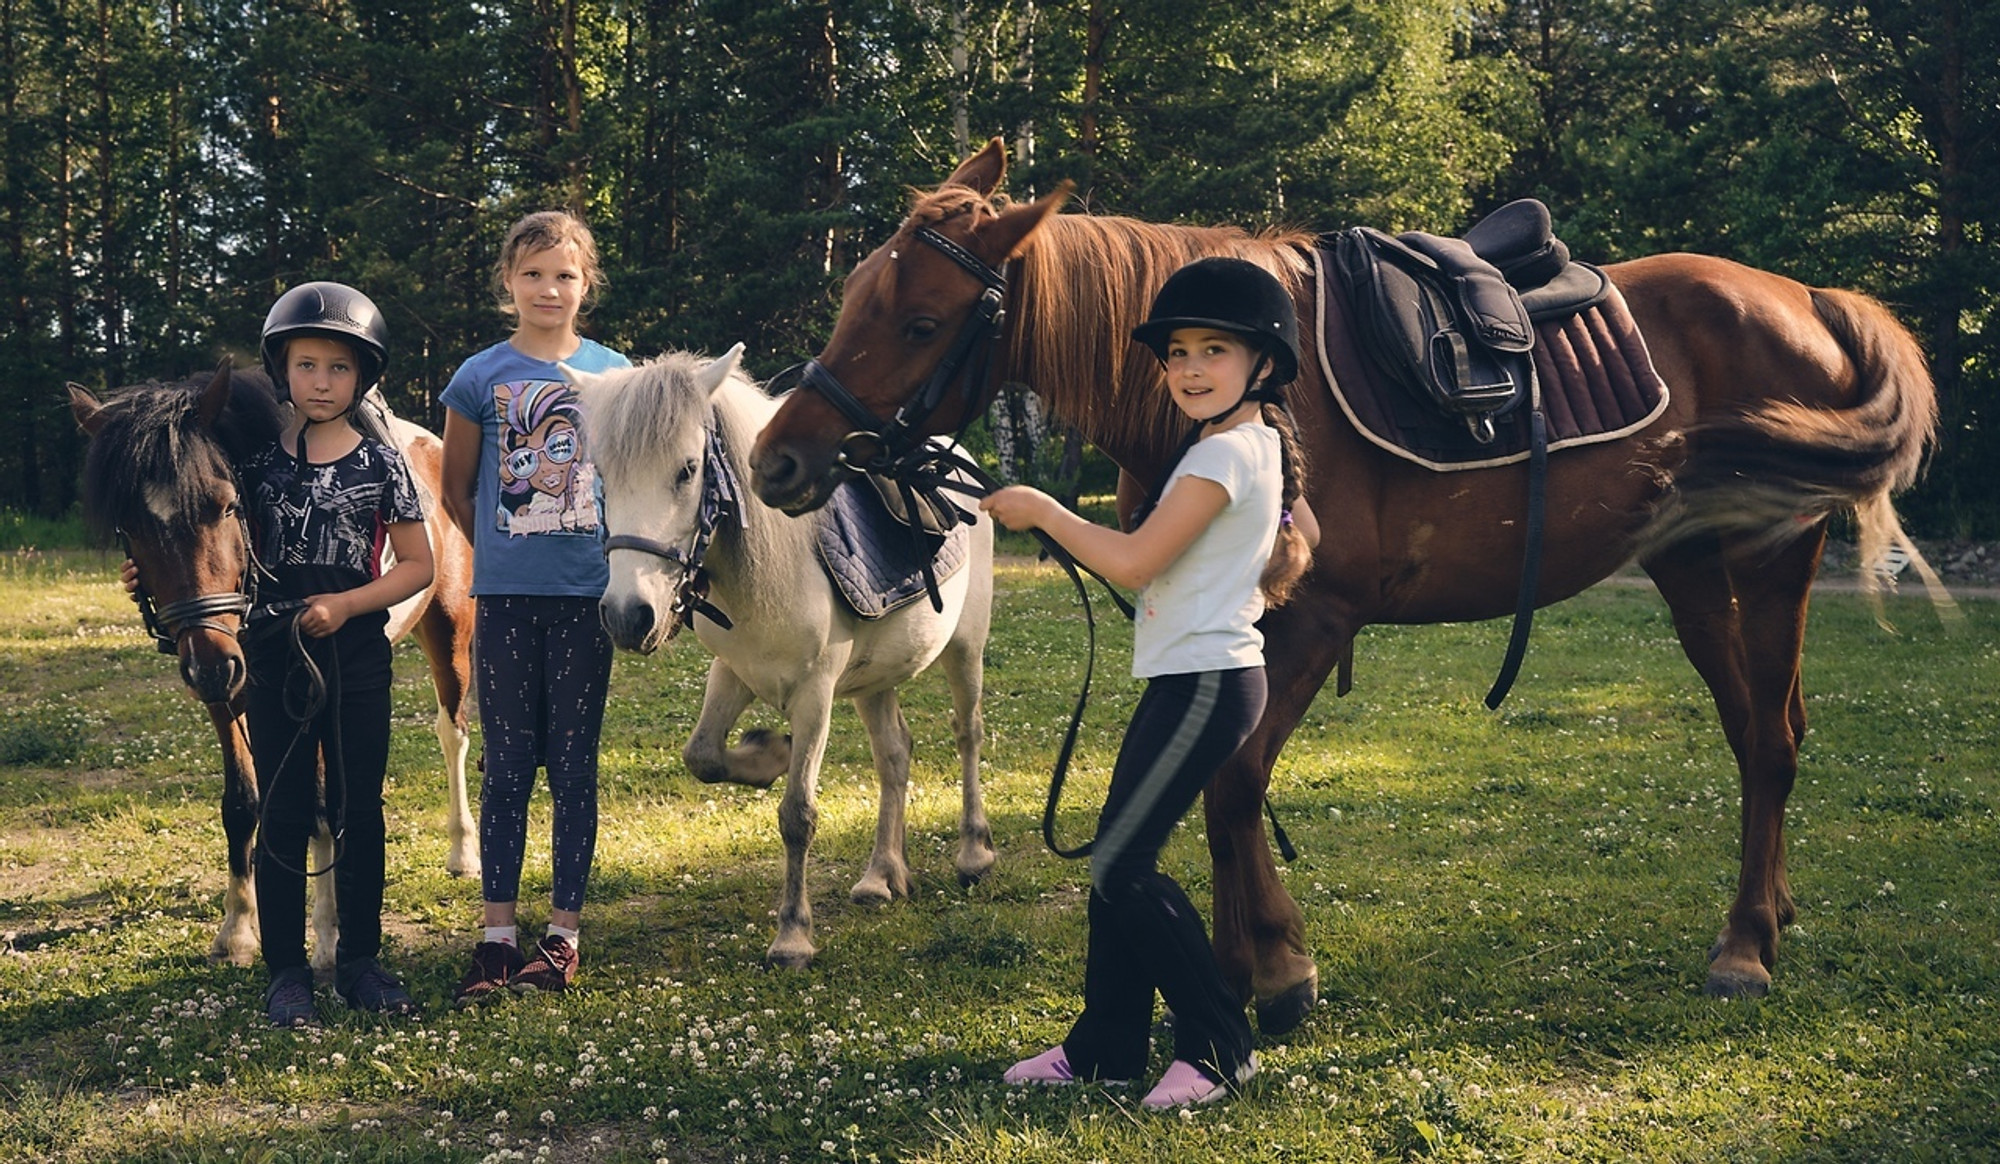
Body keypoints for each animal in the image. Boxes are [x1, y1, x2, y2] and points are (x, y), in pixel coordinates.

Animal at [69, 370, 480, 972]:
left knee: (452, 733)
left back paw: (463, 850)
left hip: (449, 630)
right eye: (131, 526)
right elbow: (243, 803)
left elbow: (319, 807)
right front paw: (239, 927)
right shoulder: (227, 693)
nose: (211, 665)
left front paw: (329, 935)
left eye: (224, 506)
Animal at [568, 352, 996, 972]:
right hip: (874, 680)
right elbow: (702, 756)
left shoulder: (814, 694)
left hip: (965, 649)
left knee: (967, 734)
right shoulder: (732, 673)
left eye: (688, 470)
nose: (628, 615)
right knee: (894, 755)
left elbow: (797, 816)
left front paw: (793, 934)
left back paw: (973, 852)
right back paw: (883, 874)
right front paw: (769, 753)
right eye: (602, 472)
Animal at [748, 141, 1936, 1032]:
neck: (1222, 399)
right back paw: (1771, 913)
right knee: (1763, 729)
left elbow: (1234, 785)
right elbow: (1221, 787)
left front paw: (1273, 971)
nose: (778, 462)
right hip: (1693, 568)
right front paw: (1239, 967)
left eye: (919, 322)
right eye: (854, 296)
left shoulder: (1312, 618)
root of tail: (1803, 298)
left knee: (1768, 742)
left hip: (1767, 559)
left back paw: (1744, 947)